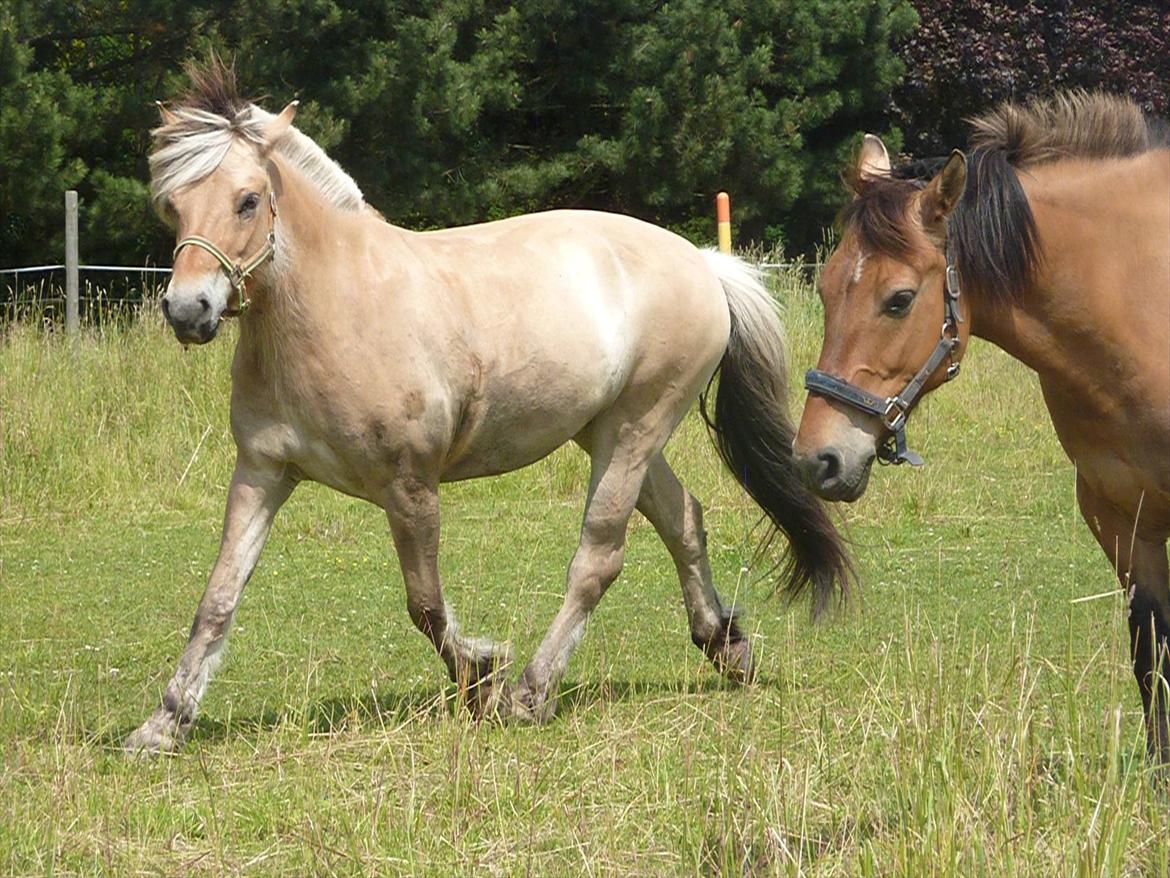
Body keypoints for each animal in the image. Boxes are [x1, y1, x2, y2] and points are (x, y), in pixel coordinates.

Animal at [124, 60, 851, 754]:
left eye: (248, 201)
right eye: (172, 206)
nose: (188, 310)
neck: (337, 306)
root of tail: (703, 264)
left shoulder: (409, 486)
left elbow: (424, 605)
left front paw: (483, 677)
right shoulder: (262, 473)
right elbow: (218, 598)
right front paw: (163, 725)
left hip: (635, 428)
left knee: (599, 557)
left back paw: (532, 692)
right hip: (608, 434)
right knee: (685, 521)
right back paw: (725, 646)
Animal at [793, 92, 1170, 760]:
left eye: (899, 299)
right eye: (825, 285)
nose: (818, 458)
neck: (1141, 290)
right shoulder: (1122, 519)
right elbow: (1152, 659)